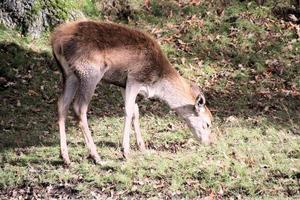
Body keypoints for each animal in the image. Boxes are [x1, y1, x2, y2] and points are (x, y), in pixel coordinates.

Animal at [50, 19, 212, 166]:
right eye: (208, 123)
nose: (208, 142)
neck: (157, 81)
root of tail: (56, 41)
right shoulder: (135, 78)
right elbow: (128, 110)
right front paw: (125, 152)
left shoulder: (123, 83)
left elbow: (135, 109)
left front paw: (142, 147)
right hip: (89, 72)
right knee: (79, 107)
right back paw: (96, 157)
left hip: (69, 74)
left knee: (62, 103)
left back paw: (65, 157)